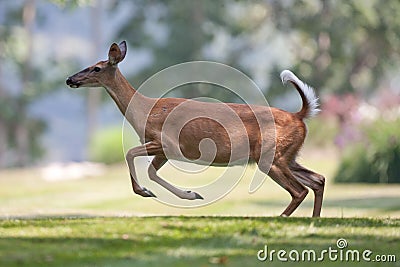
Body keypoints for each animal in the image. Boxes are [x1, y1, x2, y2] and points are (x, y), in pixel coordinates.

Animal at [66, 41, 324, 218]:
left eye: (96, 68)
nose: (70, 79)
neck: (144, 110)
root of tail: (299, 115)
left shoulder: (167, 143)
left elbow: (130, 154)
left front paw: (147, 191)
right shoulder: (164, 150)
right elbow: (150, 171)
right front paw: (188, 194)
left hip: (270, 155)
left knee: (300, 190)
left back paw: (281, 218)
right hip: (287, 156)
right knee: (318, 180)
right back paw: (314, 220)